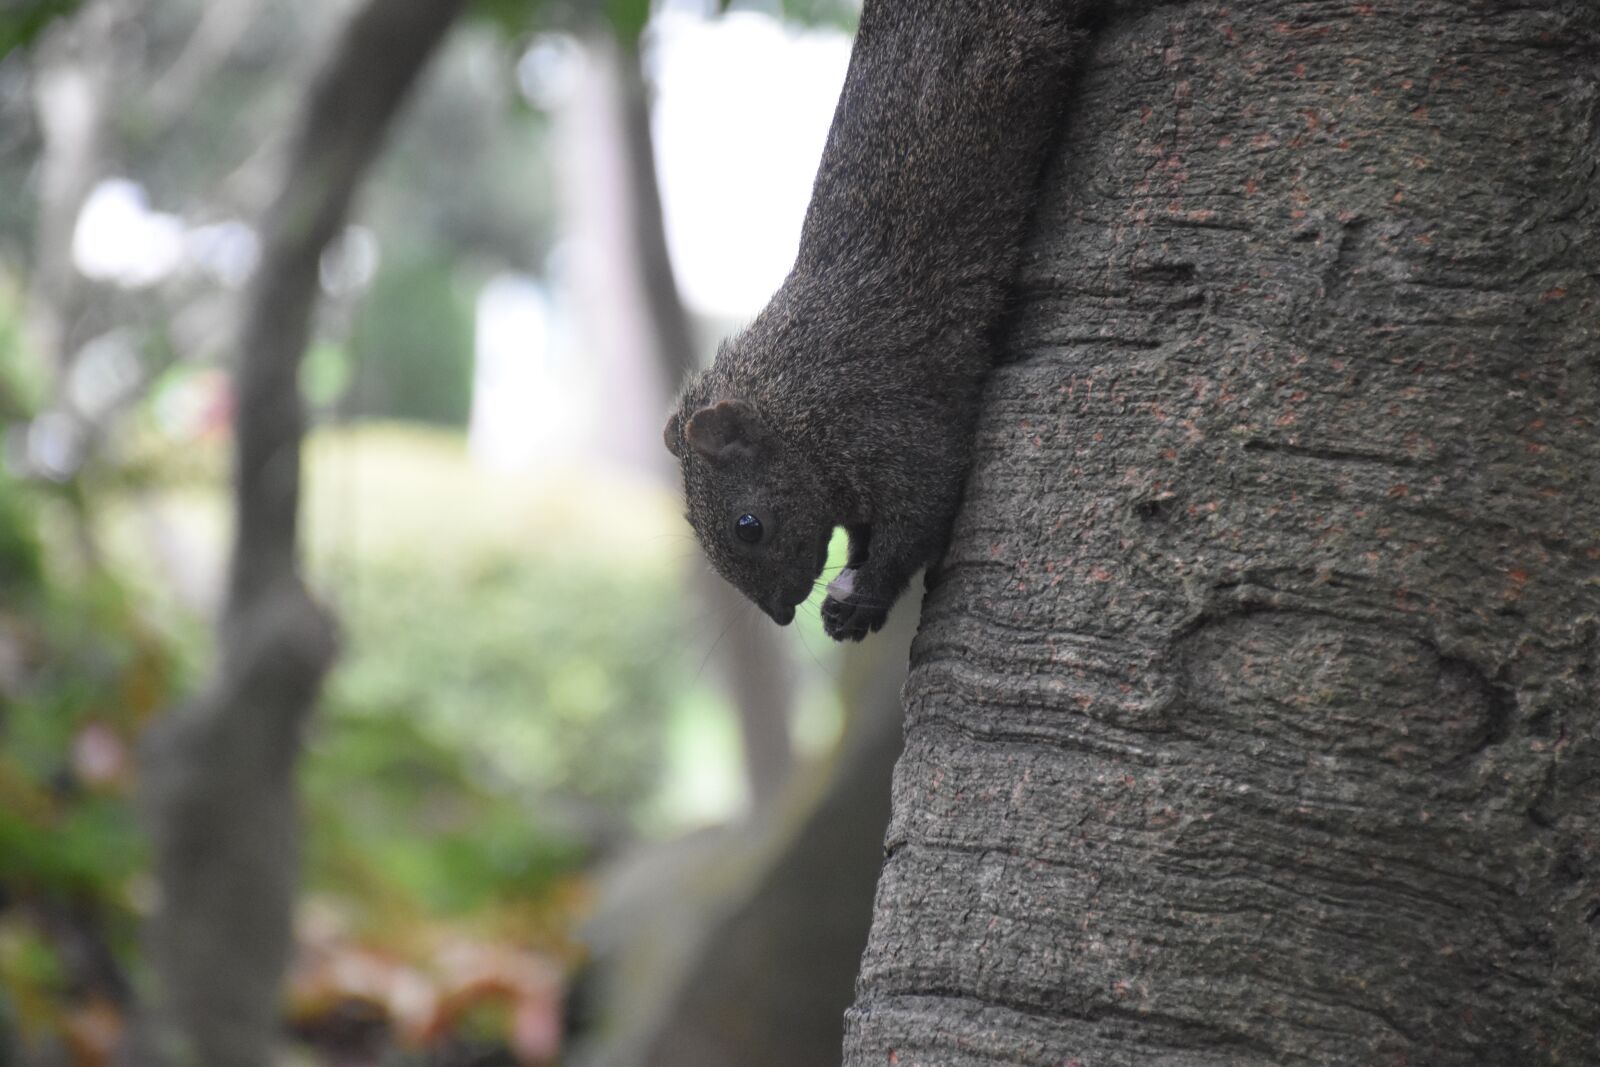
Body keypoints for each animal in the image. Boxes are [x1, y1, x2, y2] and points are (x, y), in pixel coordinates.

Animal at [665, 0, 1087, 641]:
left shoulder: (888, 425)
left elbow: (922, 515)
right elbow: (868, 536)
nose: (782, 615)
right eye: (695, 527)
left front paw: (866, 598)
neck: (797, 410)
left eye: (748, 526)